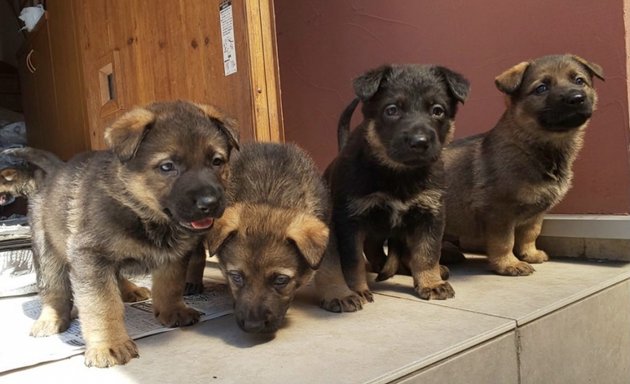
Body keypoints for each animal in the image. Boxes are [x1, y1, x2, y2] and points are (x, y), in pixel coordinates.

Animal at [206, 142, 362, 334]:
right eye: (236, 277)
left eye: (281, 280)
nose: (253, 326)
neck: (269, 193)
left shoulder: (328, 227)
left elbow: (330, 265)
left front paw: (338, 293)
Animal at [326, 64, 470, 302]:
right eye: (392, 110)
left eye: (437, 110)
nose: (419, 142)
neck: (399, 174)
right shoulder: (350, 219)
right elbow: (353, 260)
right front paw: (356, 289)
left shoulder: (431, 214)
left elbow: (428, 252)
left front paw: (431, 283)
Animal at [444, 54, 608, 276]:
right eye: (541, 88)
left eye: (579, 81)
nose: (576, 98)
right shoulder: (500, 211)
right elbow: (504, 241)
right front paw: (508, 264)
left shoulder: (536, 212)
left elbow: (530, 233)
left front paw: (530, 254)